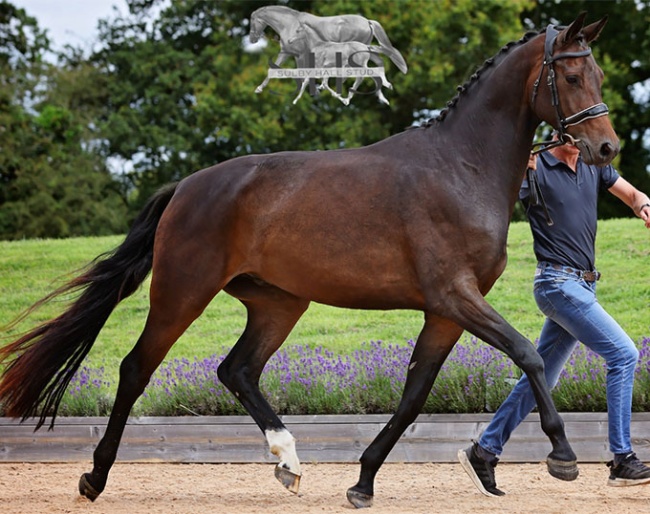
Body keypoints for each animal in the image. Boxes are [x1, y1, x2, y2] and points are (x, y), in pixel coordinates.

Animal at [248, 5, 404, 93]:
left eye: (252, 21)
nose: (252, 39)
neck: (289, 25)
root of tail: (367, 21)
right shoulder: (286, 53)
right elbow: (273, 69)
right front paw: (259, 88)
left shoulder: (300, 55)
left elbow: (302, 72)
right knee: (378, 62)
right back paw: (386, 85)